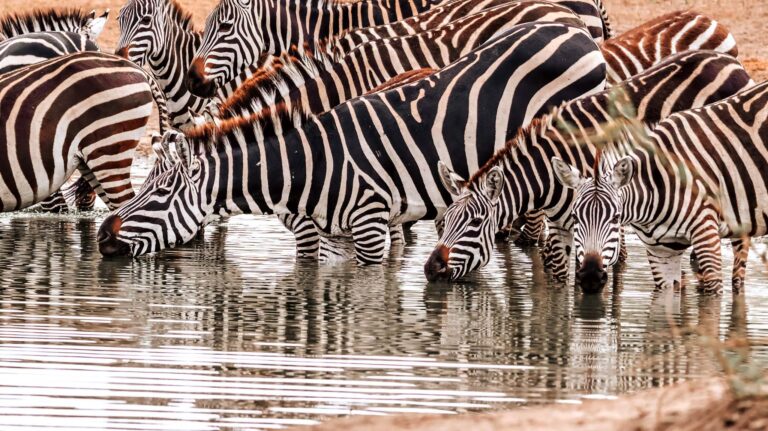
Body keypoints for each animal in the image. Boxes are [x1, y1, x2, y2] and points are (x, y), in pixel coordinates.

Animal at [98, 22, 607, 260]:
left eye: (160, 193)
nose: (101, 235)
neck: (302, 162)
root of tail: (574, 32)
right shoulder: (330, 230)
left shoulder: (365, 225)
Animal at [424, 50, 752, 282]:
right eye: (445, 220)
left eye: (475, 223)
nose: (430, 269)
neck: (549, 174)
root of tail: (731, 62)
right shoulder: (561, 227)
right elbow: (556, 282)